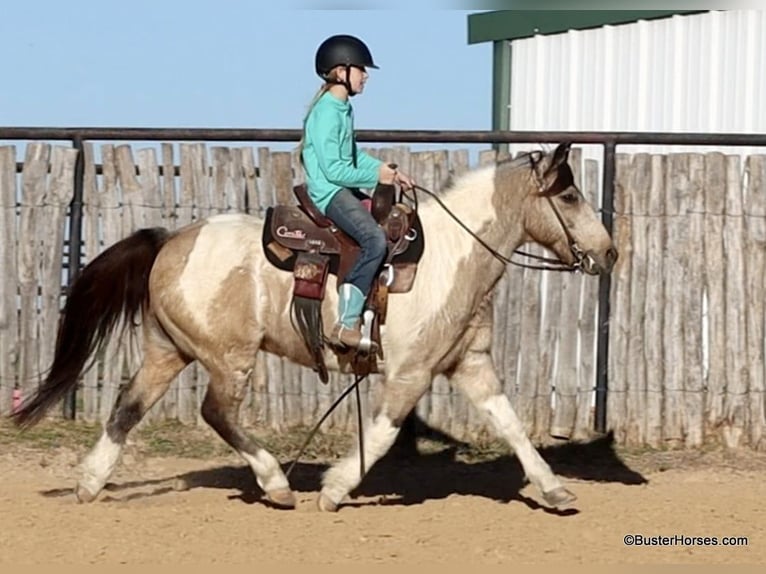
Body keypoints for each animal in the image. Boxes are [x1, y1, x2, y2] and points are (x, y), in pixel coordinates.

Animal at [10, 143, 616, 512]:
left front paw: (554, 489)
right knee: (216, 412)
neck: (451, 253)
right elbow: (383, 431)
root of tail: (170, 239)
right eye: (568, 196)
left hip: (167, 350)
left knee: (128, 406)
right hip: (228, 357)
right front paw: (336, 487)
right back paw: (277, 484)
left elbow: (510, 423)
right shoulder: (411, 371)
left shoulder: (470, 363)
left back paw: (90, 483)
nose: (609, 253)